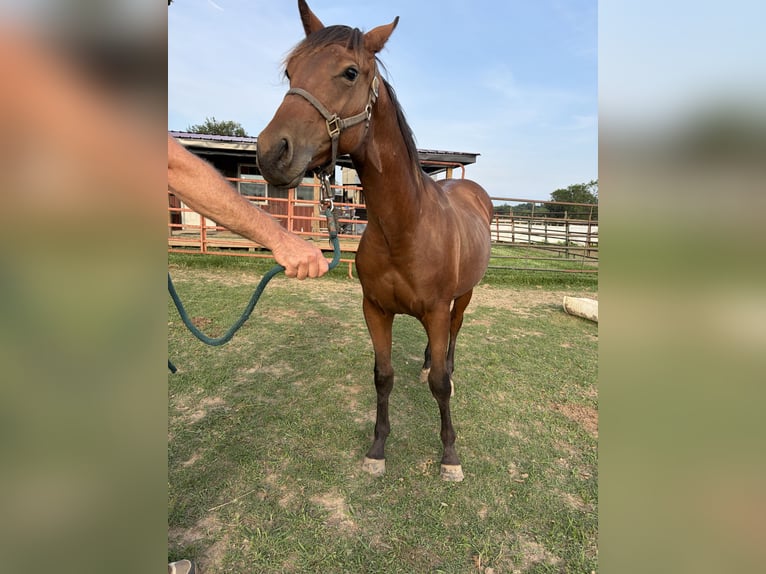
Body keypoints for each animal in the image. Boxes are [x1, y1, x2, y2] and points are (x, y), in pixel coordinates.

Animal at [257, 0, 493, 481]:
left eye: (350, 72)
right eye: (290, 71)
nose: (271, 152)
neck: (406, 226)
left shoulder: (437, 309)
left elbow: (440, 385)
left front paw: (450, 455)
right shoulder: (375, 310)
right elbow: (382, 377)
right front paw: (378, 448)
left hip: (464, 296)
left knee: (454, 337)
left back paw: (446, 366)